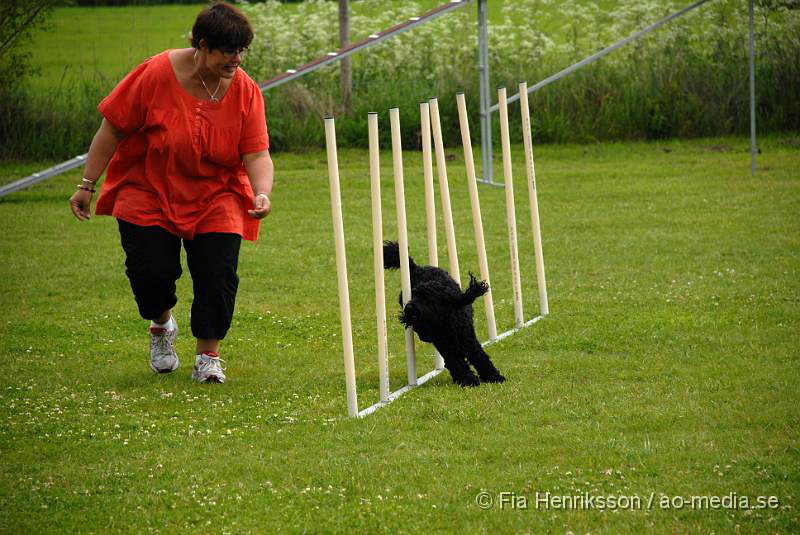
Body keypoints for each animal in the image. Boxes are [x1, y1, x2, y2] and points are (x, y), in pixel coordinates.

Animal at [382, 243, 506, 390]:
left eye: (428, 298)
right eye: (415, 294)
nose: (409, 308)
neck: (446, 319)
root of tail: (416, 267)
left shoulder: (468, 337)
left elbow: (480, 356)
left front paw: (493, 376)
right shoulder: (445, 343)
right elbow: (456, 361)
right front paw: (468, 380)